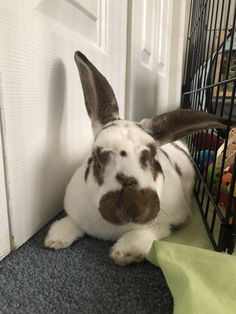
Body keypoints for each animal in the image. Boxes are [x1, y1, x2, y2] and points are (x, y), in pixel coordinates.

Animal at [44, 51, 227, 264]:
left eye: (153, 157)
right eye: (97, 159)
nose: (133, 208)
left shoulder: (177, 219)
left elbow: (153, 232)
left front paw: (124, 253)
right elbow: (73, 221)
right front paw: (56, 238)